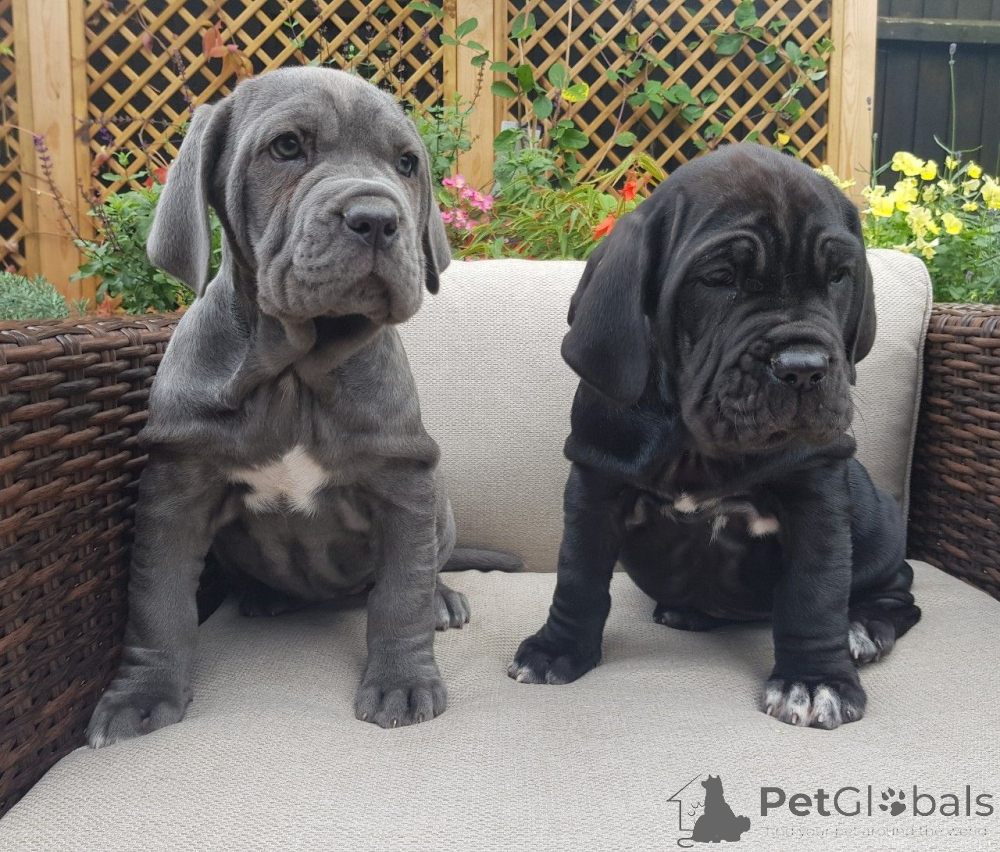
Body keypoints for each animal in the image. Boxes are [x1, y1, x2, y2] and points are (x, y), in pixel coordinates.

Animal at [87, 68, 516, 746]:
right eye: (286, 147)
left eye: (406, 163)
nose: (377, 219)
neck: (293, 371)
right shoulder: (173, 491)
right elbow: (157, 602)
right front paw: (142, 695)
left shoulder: (404, 485)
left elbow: (400, 593)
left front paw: (402, 682)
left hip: (439, 505)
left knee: (427, 568)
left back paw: (442, 599)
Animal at [509, 144, 920, 729]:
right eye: (719, 278)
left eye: (840, 277)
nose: (804, 367)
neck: (696, 445)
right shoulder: (594, 486)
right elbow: (577, 576)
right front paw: (557, 648)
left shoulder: (817, 497)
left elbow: (815, 593)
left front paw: (816, 680)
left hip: (878, 529)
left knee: (898, 594)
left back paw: (863, 630)